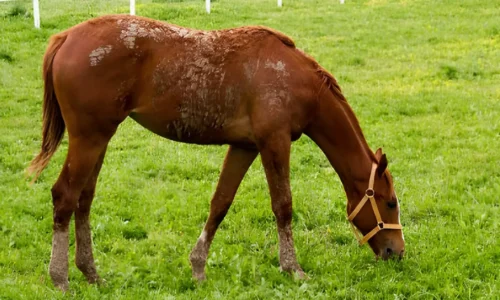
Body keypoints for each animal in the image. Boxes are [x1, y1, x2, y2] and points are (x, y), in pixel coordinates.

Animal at [27, 14, 404, 290]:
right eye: (390, 203)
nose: (396, 252)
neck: (295, 78)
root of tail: (66, 37)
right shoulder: (275, 143)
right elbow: (283, 206)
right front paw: (293, 268)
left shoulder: (245, 146)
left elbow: (220, 203)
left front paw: (197, 267)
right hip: (89, 139)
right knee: (64, 196)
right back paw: (60, 279)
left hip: (98, 141)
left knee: (83, 201)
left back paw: (91, 273)